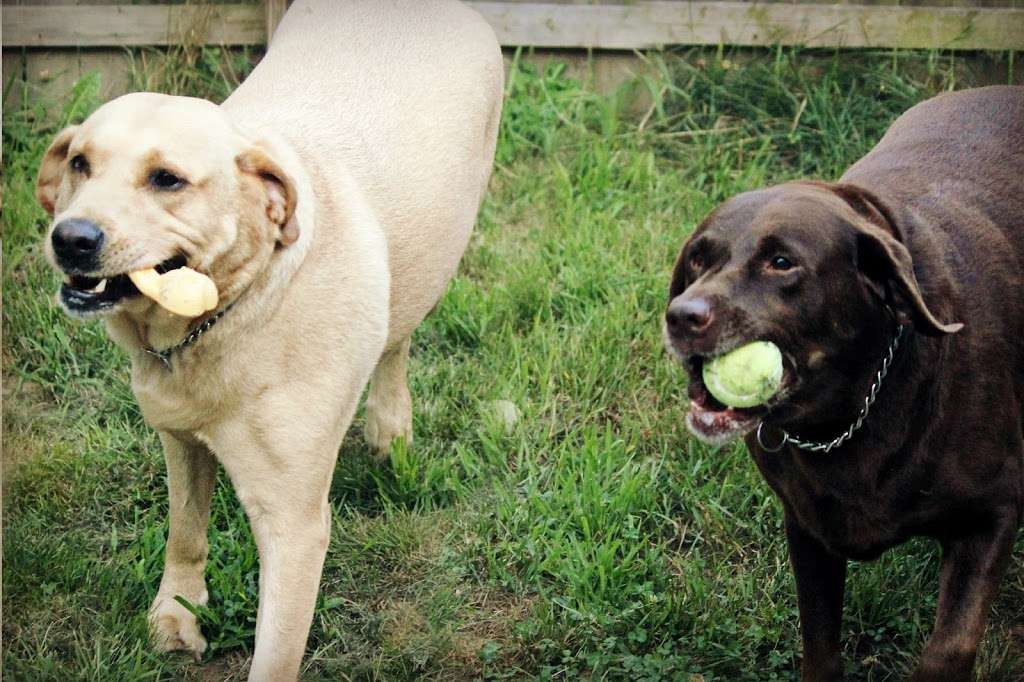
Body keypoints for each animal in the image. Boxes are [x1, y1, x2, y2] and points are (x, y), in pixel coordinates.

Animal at [37, 0, 503, 675]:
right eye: (79, 164)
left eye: (167, 179)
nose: (70, 238)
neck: (235, 308)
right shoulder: (180, 439)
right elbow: (185, 530)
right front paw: (178, 610)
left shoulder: (294, 524)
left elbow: (275, 655)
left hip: (440, 251)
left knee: (397, 341)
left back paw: (390, 428)